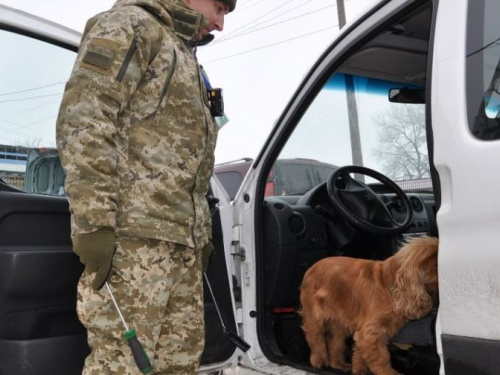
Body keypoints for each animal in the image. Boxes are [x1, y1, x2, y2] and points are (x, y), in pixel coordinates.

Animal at [300, 238, 438, 375]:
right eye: (436, 265)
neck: (391, 287)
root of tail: (310, 269)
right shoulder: (371, 331)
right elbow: (381, 357)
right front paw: (388, 372)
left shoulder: (364, 330)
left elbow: (360, 351)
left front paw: (359, 368)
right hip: (314, 316)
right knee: (315, 338)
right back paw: (319, 361)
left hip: (339, 322)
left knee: (335, 342)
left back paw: (339, 364)